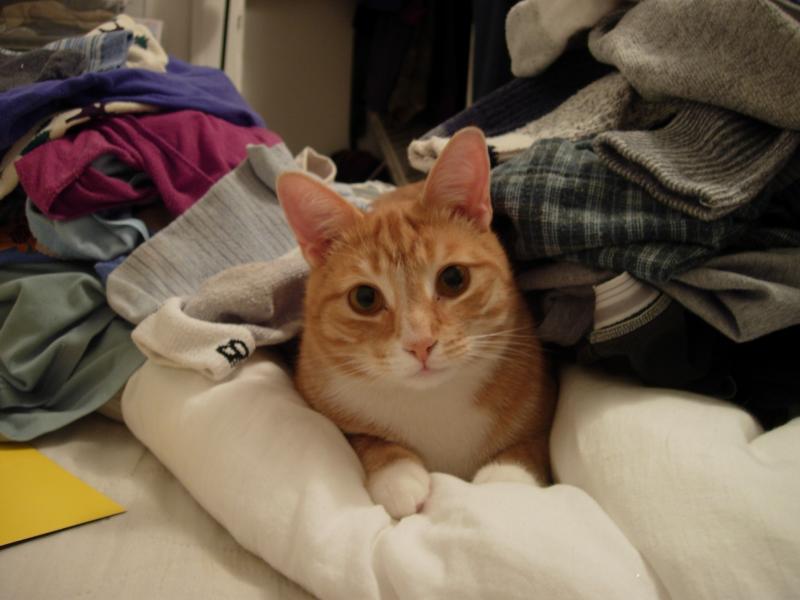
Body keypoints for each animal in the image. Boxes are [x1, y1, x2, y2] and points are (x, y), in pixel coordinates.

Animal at [278, 127, 552, 520]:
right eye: (365, 298)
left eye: (453, 278)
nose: (420, 343)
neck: (432, 402)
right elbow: (365, 437)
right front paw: (398, 474)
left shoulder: (542, 404)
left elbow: (531, 444)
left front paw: (504, 481)